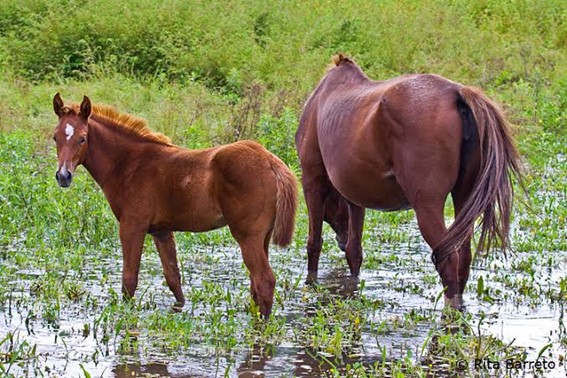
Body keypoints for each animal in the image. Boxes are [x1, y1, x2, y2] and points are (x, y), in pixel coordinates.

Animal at [53, 94, 300, 316]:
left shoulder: (132, 226)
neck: (129, 164)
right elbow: (173, 278)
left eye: (82, 138)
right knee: (255, 284)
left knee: (264, 280)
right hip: (263, 236)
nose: (63, 176)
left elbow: (129, 280)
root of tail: (272, 161)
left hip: (247, 235)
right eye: (55, 137)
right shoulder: (161, 231)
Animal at [298, 56, 524, 310]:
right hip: (463, 197)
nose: (340, 239)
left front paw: (311, 284)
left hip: (427, 206)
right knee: (463, 256)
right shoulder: (353, 193)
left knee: (449, 259)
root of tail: (456, 93)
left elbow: (314, 243)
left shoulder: (311, 179)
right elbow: (354, 252)